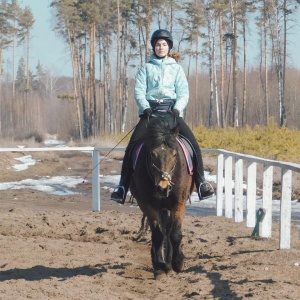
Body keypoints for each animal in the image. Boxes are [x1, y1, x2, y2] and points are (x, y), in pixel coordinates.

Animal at [130, 112, 193, 278]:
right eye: (152, 154)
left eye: (175, 154)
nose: (163, 188)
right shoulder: (148, 205)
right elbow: (158, 235)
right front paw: (159, 265)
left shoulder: (178, 204)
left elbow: (175, 234)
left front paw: (177, 263)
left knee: (169, 231)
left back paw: (169, 263)